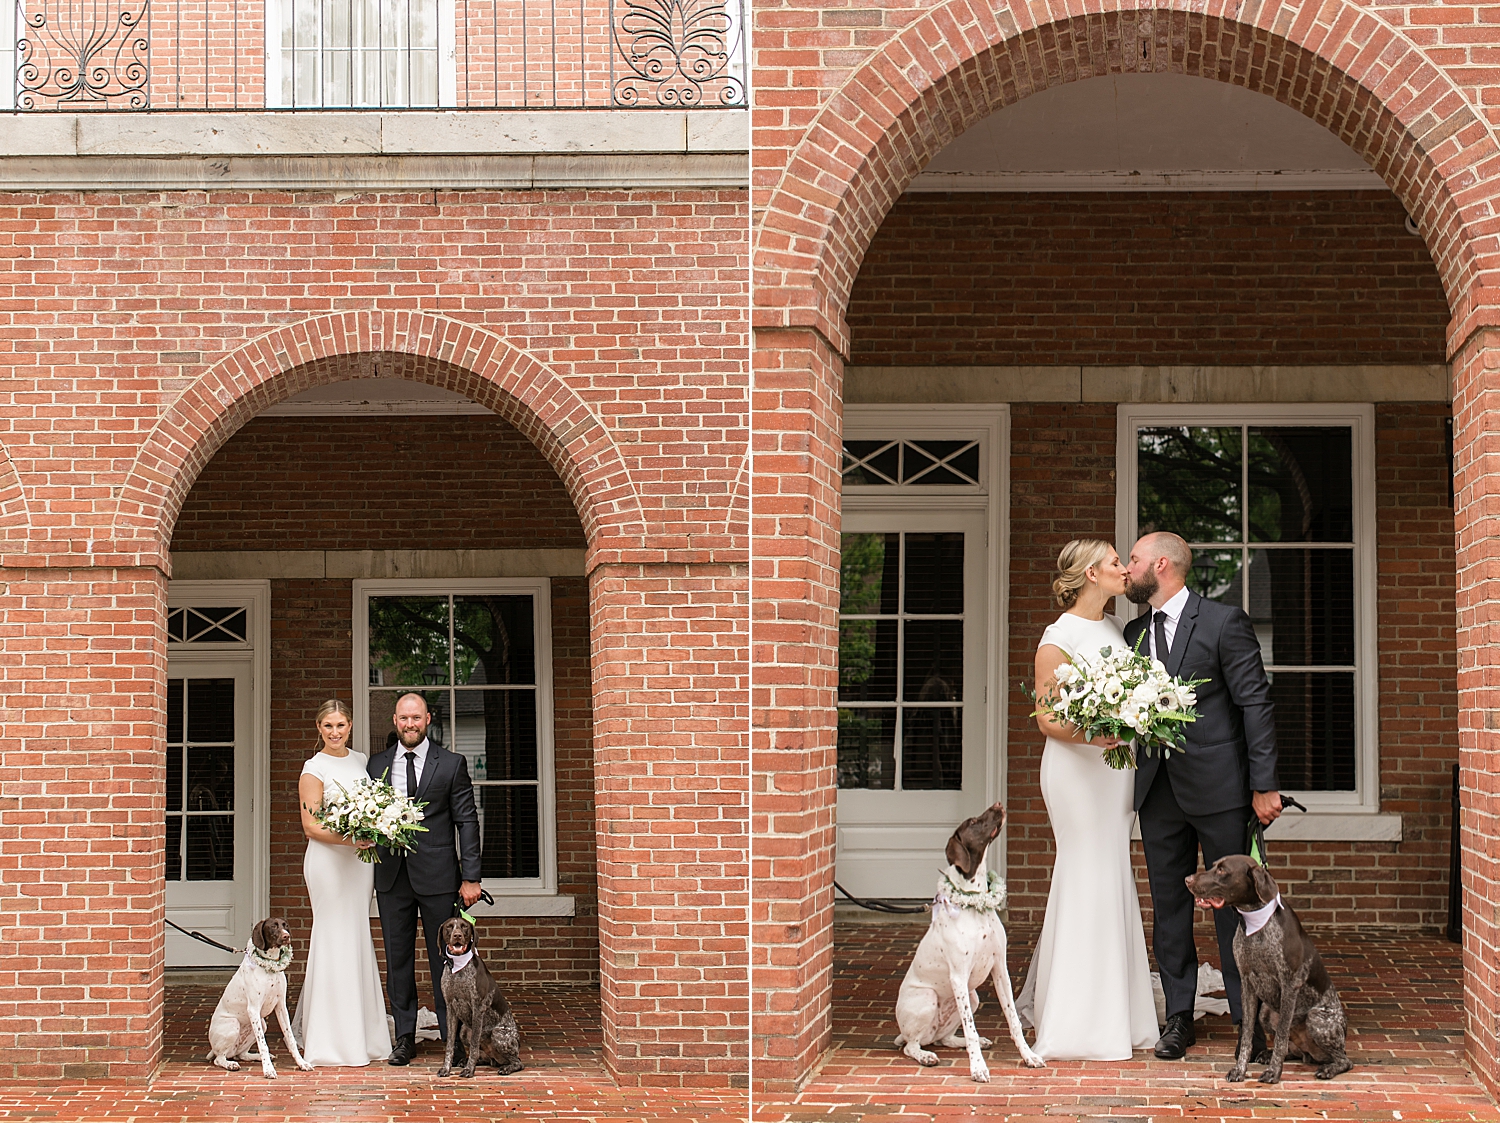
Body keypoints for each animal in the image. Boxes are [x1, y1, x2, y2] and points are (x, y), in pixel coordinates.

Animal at [207, 917, 312, 1079]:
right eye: (273, 926)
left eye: (285, 925)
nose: (287, 936)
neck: (270, 968)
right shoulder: (253, 1009)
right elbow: (263, 1044)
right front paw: (268, 1070)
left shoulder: (281, 1007)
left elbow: (290, 1038)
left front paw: (302, 1063)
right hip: (233, 1024)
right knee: (219, 1058)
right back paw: (230, 1064)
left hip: (261, 1024)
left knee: (241, 1054)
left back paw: (254, 1056)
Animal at [438, 917, 525, 1079]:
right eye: (449, 927)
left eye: (464, 927)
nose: (457, 935)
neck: (458, 967)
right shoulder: (450, 1008)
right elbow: (450, 1045)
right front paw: (446, 1069)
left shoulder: (477, 1008)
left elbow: (473, 1045)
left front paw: (469, 1070)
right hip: (464, 1031)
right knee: (485, 1056)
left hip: (499, 1035)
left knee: (518, 1062)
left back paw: (506, 1068)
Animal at [888, 803, 1044, 1079]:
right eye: (972, 822)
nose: (999, 805)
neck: (974, 903)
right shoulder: (959, 976)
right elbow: (970, 1027)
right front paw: (978, 1068)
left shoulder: (1000, 969)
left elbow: (1013, 1019)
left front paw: (1029, 1056)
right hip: (929, 998)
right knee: (910, 1045)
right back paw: (925, 1056)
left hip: (973, 997)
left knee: (945, 1038)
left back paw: (973, 1041)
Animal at [1188, 851, 1356, 1079]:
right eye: (1214, 866)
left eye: (1222, 870)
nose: (1187, 879)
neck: (1256, 923)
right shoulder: (1247, 984)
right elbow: (1247, 1034)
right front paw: (1240, 1070)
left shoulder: (1289, 985)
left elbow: (1282, 1036)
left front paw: (1274, 1073)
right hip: (1266, 1013)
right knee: (1296, 1050)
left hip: (1318, 1018)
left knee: (1344, 1060)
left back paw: (1328, 1068)